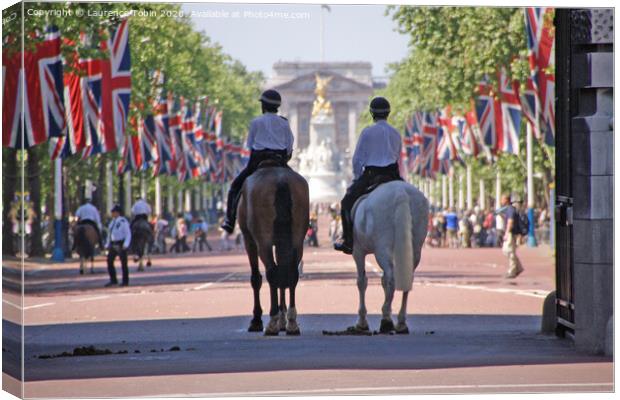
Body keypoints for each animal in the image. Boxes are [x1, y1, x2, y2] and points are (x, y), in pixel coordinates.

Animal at [240, 164, 312, 336]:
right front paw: (283, 319)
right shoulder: (282, 242)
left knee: (272, 272)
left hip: (263, 239)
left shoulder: (249, 239)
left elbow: (256, 278)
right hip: (297, 239)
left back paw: (272, 322)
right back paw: (291, 322)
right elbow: (283, 277)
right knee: (291, 273)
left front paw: (257, 320)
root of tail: (281, 181)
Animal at [352, 181, 428, 334]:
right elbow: (383, 280)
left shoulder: (358, 251)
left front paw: (362, 322)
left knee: (392, 279)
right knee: (406, 278)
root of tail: (400, 191)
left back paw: (386, 319)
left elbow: (362, 282)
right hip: (414, 248)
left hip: (381, 249)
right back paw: (401, 322)